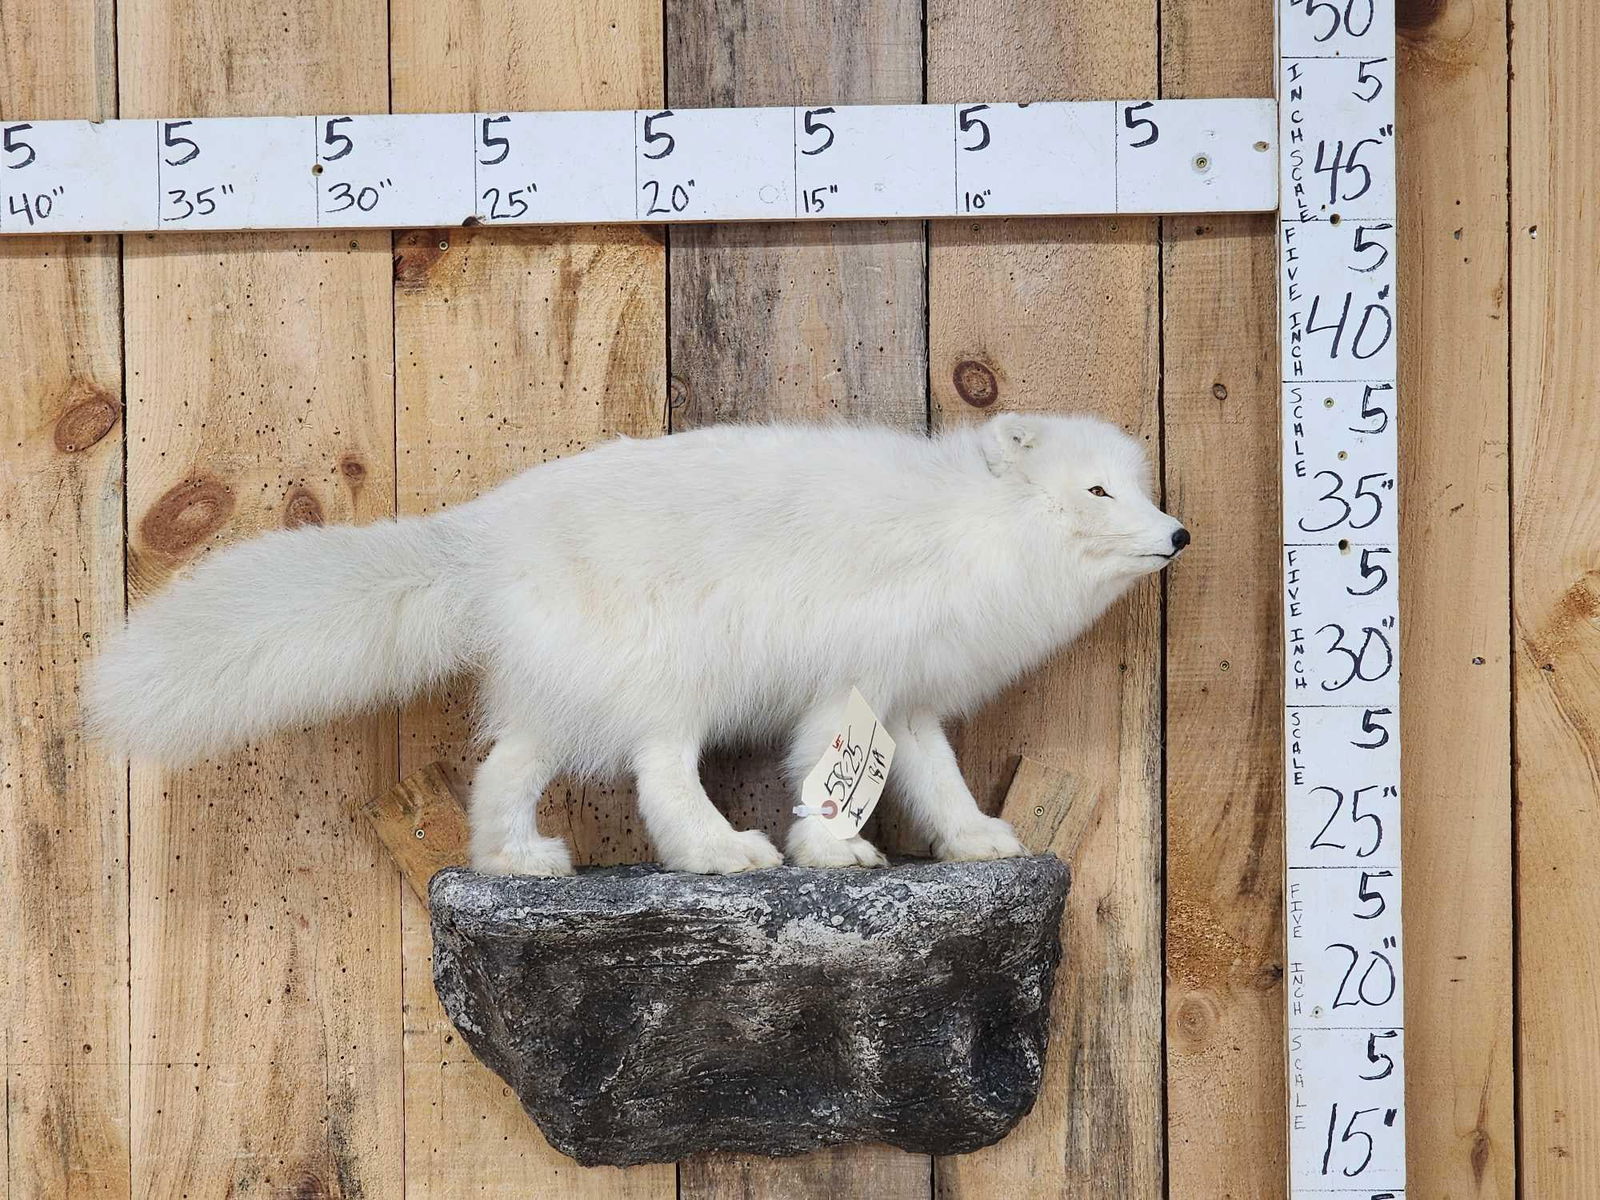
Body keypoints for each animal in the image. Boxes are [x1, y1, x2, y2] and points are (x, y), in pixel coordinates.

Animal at [87, 412, 1188, 877]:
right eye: (1099, 490)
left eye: (1139, 486)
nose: (1178, 535)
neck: (969, 527)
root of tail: (489, 529)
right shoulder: (845, 688)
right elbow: (821, 774)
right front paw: (831, 849)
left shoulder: (906, 702)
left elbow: (940, 779)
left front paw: (973, 841)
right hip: (665, 682)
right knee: (659, 779)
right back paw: (721, 852)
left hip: (562, 698)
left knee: (502, 772)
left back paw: (515, 861)